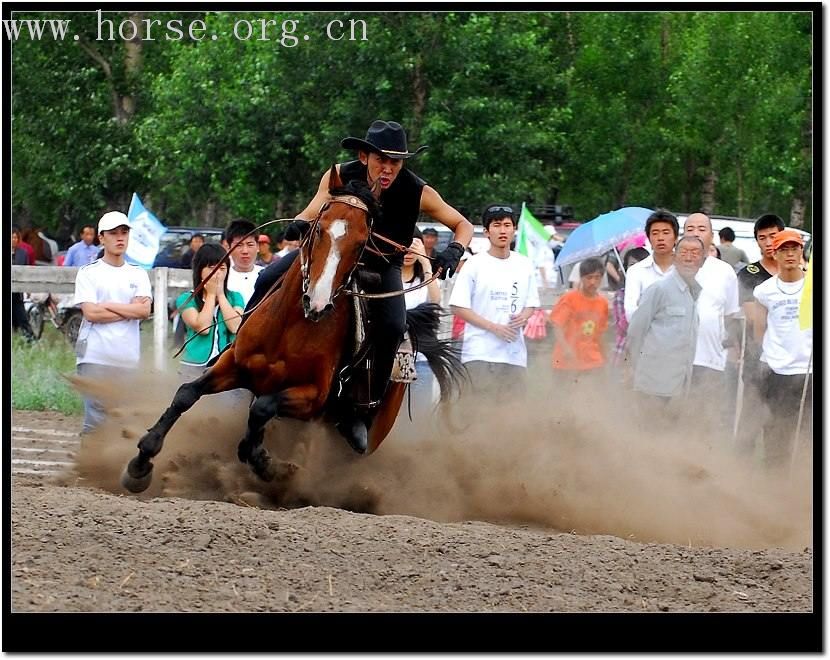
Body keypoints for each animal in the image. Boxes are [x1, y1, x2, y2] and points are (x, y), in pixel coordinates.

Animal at [122, 168, 468, 492]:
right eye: (318, 229)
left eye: (361, 243)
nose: (318, 302)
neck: (288, 329)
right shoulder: (235, 366)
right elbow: (186, 394)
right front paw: (140, 464)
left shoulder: (312, 396)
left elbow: (261, 409)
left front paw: (265, 464)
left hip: (367, 428)